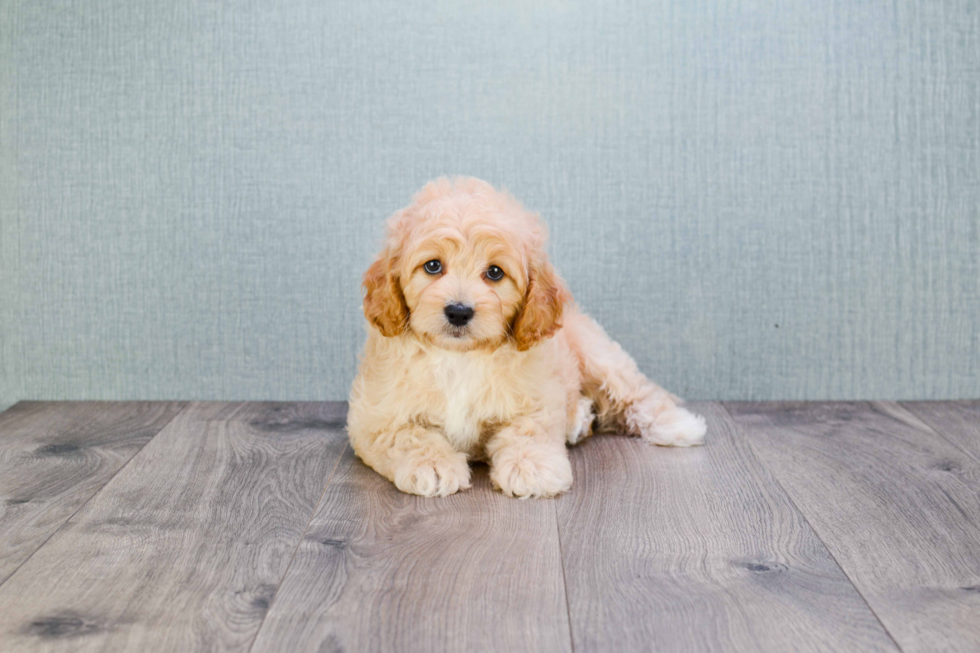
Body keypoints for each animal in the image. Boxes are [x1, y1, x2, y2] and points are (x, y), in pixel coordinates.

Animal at [348, 176, 708, 496]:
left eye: (495, 272)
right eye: (433, 266)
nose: (459, 312)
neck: (460, 356)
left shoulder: (536, 396)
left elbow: (529, 429)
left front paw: (531, 467)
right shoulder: (375, 417)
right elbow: (408, 436)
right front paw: (433, 466)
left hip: (599, 354)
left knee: (637, 393)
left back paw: (677, 424)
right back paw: (580, 420)